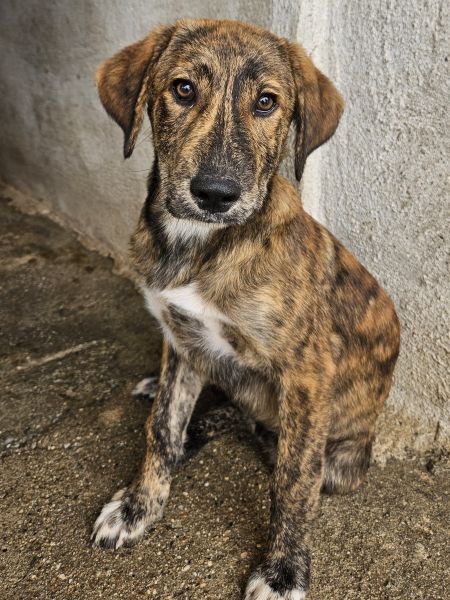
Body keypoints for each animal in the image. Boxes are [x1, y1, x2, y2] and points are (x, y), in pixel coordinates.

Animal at [91, 19, 400, 599]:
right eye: (183, 89)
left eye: (266, 102)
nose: (216, 194)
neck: (199, 245)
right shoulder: (181, 339)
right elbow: (161, 428)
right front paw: (138, 507)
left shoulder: (306, 374)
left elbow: (293, 481)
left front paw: (283, 571)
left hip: (341, 457)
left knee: (276, 441)